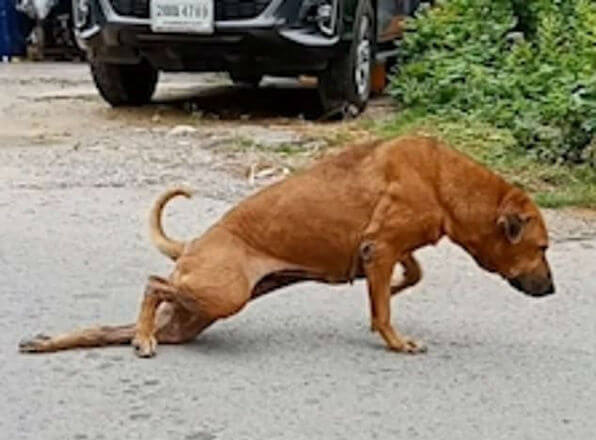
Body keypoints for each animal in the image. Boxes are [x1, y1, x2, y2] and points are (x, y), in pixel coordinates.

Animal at [18, 136, 556, 356]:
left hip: (194, 316)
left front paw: (394, 288)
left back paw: (51, 341)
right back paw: (141, 336)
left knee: (112, 326)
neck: (444, 180)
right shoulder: (381, 246)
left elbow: (409, 274)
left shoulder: (387, 248)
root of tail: (191, 245)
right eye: (543, 247)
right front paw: (395, 338)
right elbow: (384, 309)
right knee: (152, 284)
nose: (551, 290)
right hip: (223, 295)